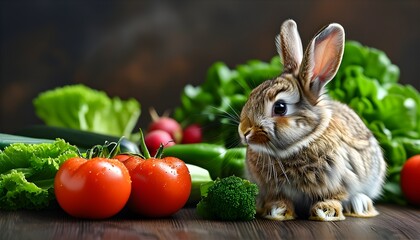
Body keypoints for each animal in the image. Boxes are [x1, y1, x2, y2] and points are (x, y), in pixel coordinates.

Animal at [238, 20, 386, 221]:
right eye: (252, 94)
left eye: (280, 107)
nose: (244, 131)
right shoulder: (273, 190)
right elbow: (279, 199)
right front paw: (277, 211)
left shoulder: (340, 180)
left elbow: (335, 196)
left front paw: (325, 211)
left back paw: (360, 205)